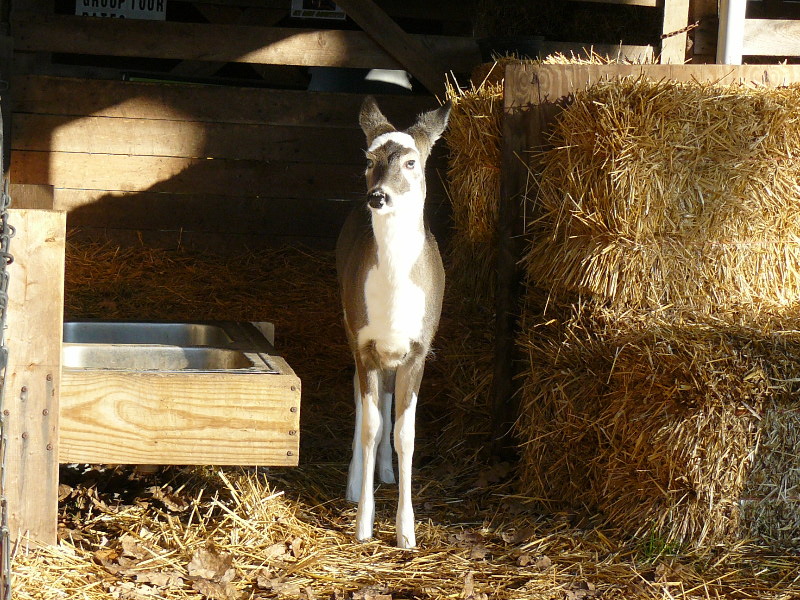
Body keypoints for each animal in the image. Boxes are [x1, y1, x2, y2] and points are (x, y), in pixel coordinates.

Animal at [336, 96, 450, 548]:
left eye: (411, 161)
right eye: (369, 159)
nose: (377, 197)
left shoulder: (419, 348)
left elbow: (405, 433)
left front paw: (406, 531)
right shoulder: (363, 342)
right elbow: (370, 426)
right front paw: (364, 525)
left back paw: (385, 471)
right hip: (351, 328)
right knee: (362, 400)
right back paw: (356, 483)